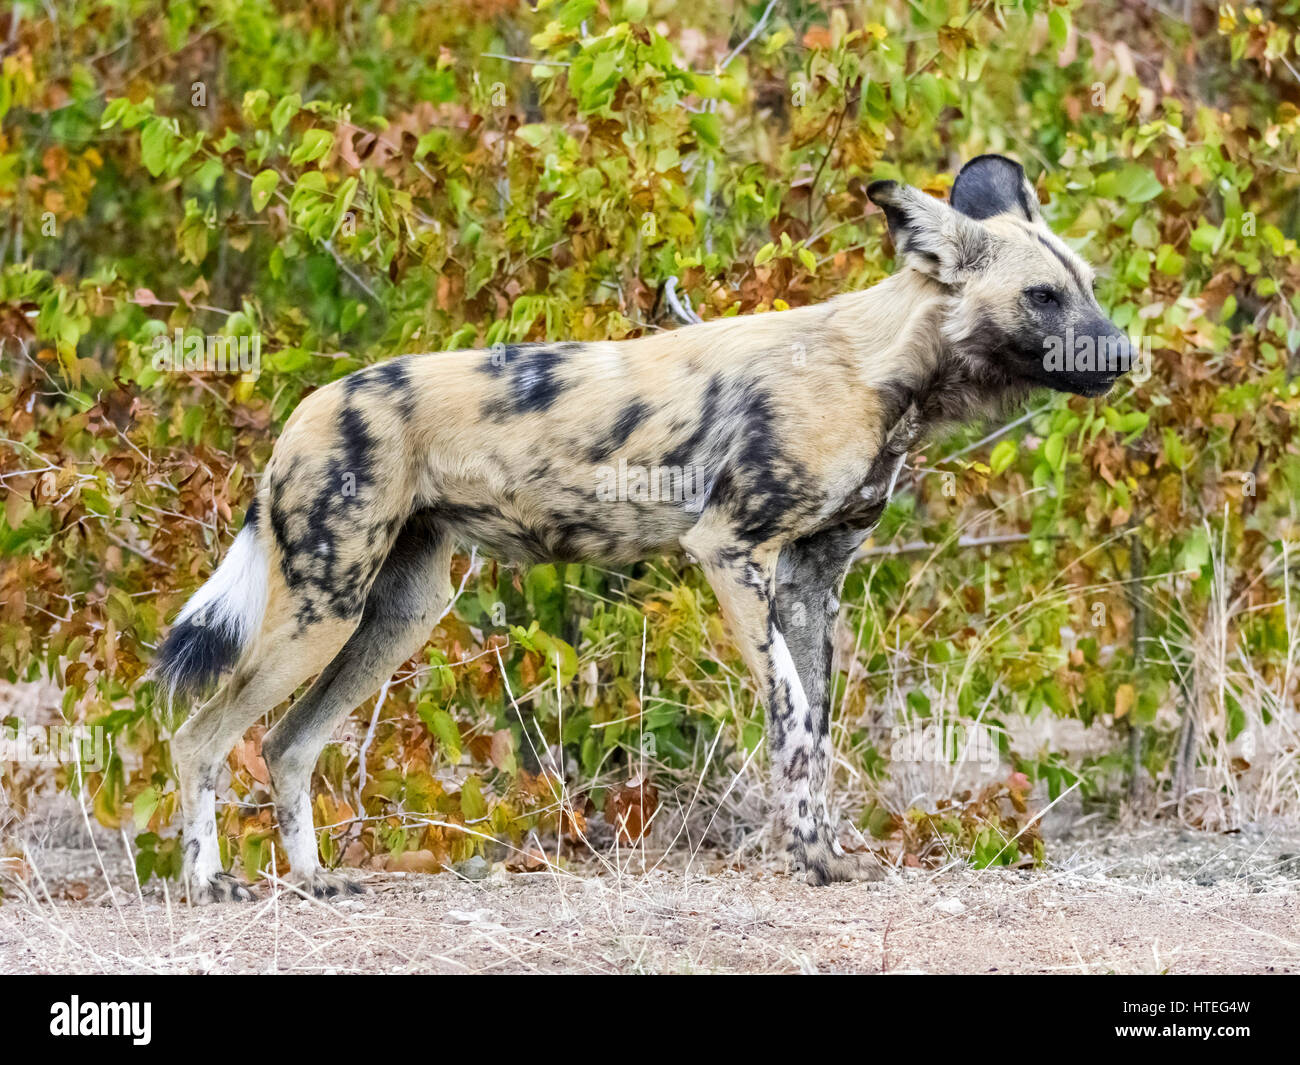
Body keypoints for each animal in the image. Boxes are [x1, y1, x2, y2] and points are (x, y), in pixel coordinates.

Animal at [152, 154, 1128, 899]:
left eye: (1086, 288)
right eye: (1043, 297)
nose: (1123, 353)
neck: (881, 368)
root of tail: (309, 406)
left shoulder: (812, 577)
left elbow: (814, 733)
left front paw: (823, 854)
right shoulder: (731, 550)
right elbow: (792, 718)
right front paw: (814, 864)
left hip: (393, 615)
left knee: (284, 743)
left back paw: (315, 878)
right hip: (323, 609)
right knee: (199, 735)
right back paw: (208, 883)